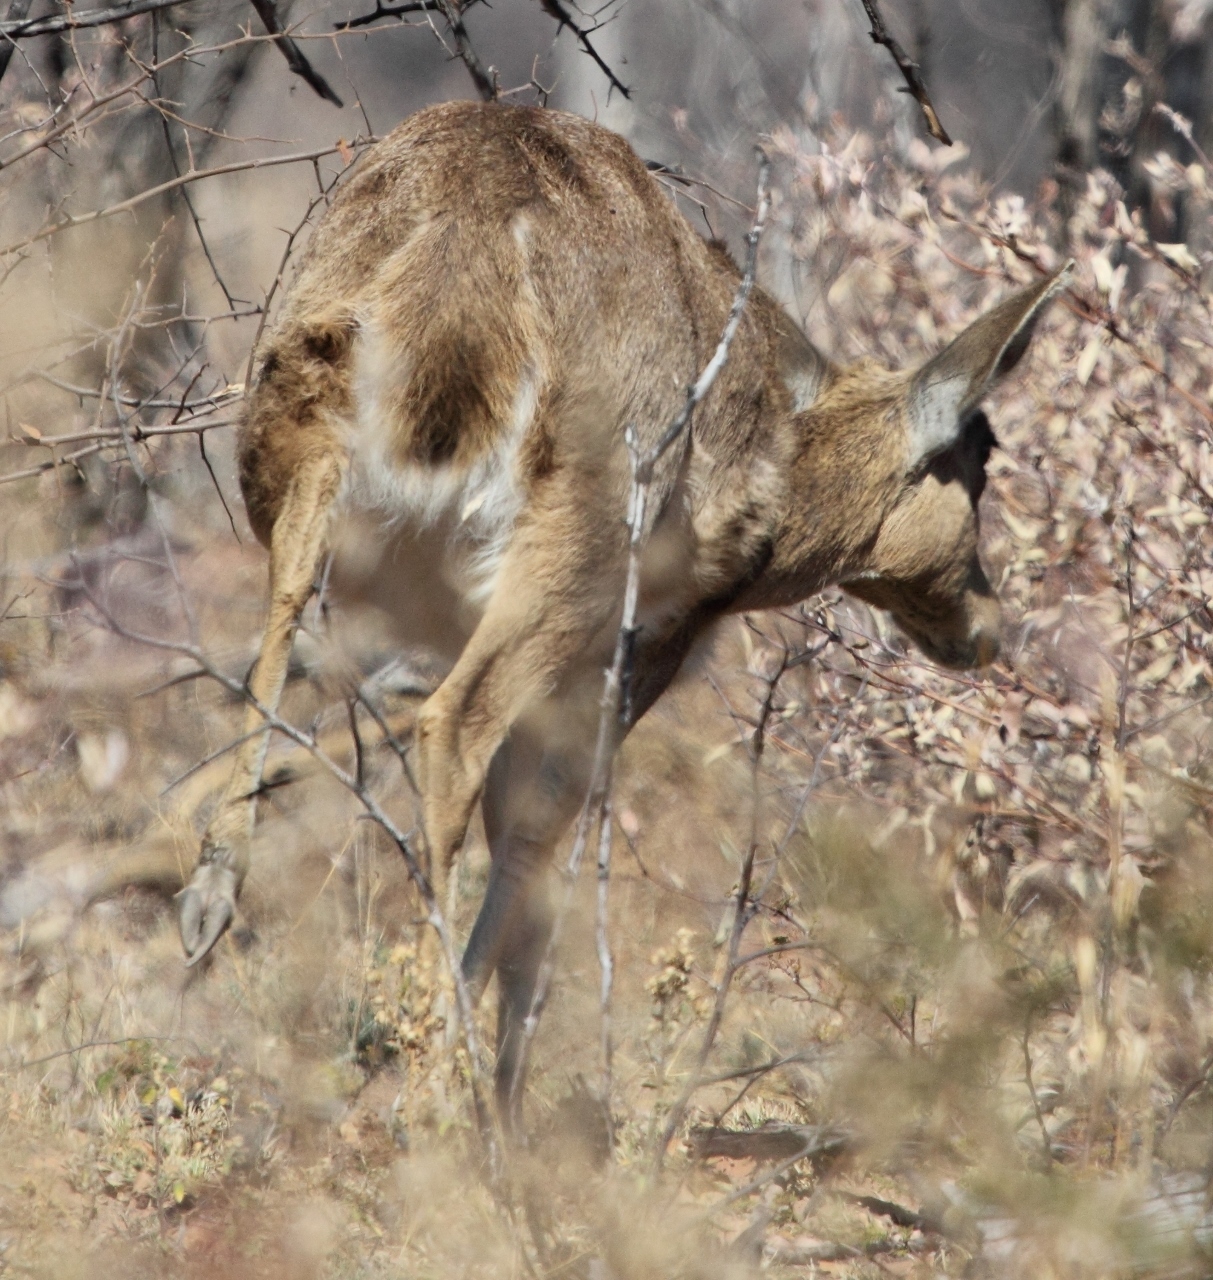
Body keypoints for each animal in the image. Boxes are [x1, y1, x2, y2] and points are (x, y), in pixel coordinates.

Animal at [175, 99, 1064, 1116]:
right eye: (982, 460)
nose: (986, 630)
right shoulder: (647, 641)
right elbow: (539, 821)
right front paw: (502, 1078)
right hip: (587, 535)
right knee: (456, 722)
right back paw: (439, 1080)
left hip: (293, 429)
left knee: (279, 620)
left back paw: (209, 904)